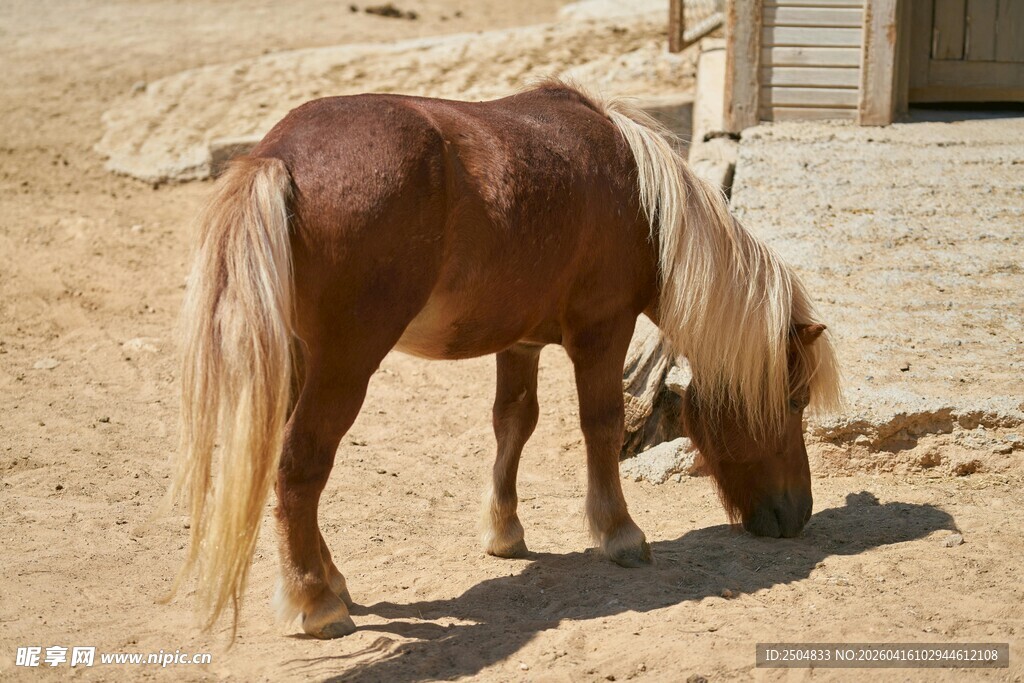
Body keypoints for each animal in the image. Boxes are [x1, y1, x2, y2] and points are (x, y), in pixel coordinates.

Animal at [167, 81, 842, 639]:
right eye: (792, 401)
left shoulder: (520, 342)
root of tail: (277, 158)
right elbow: (600, 425)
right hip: (344, 365)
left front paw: (504, 533)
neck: (641, 199)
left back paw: (329, 580)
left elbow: (513, 424)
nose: (797, 514)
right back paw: (315, 602)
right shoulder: (603, 329)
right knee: (299, 467)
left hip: (301, 362)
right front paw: (619, 533)